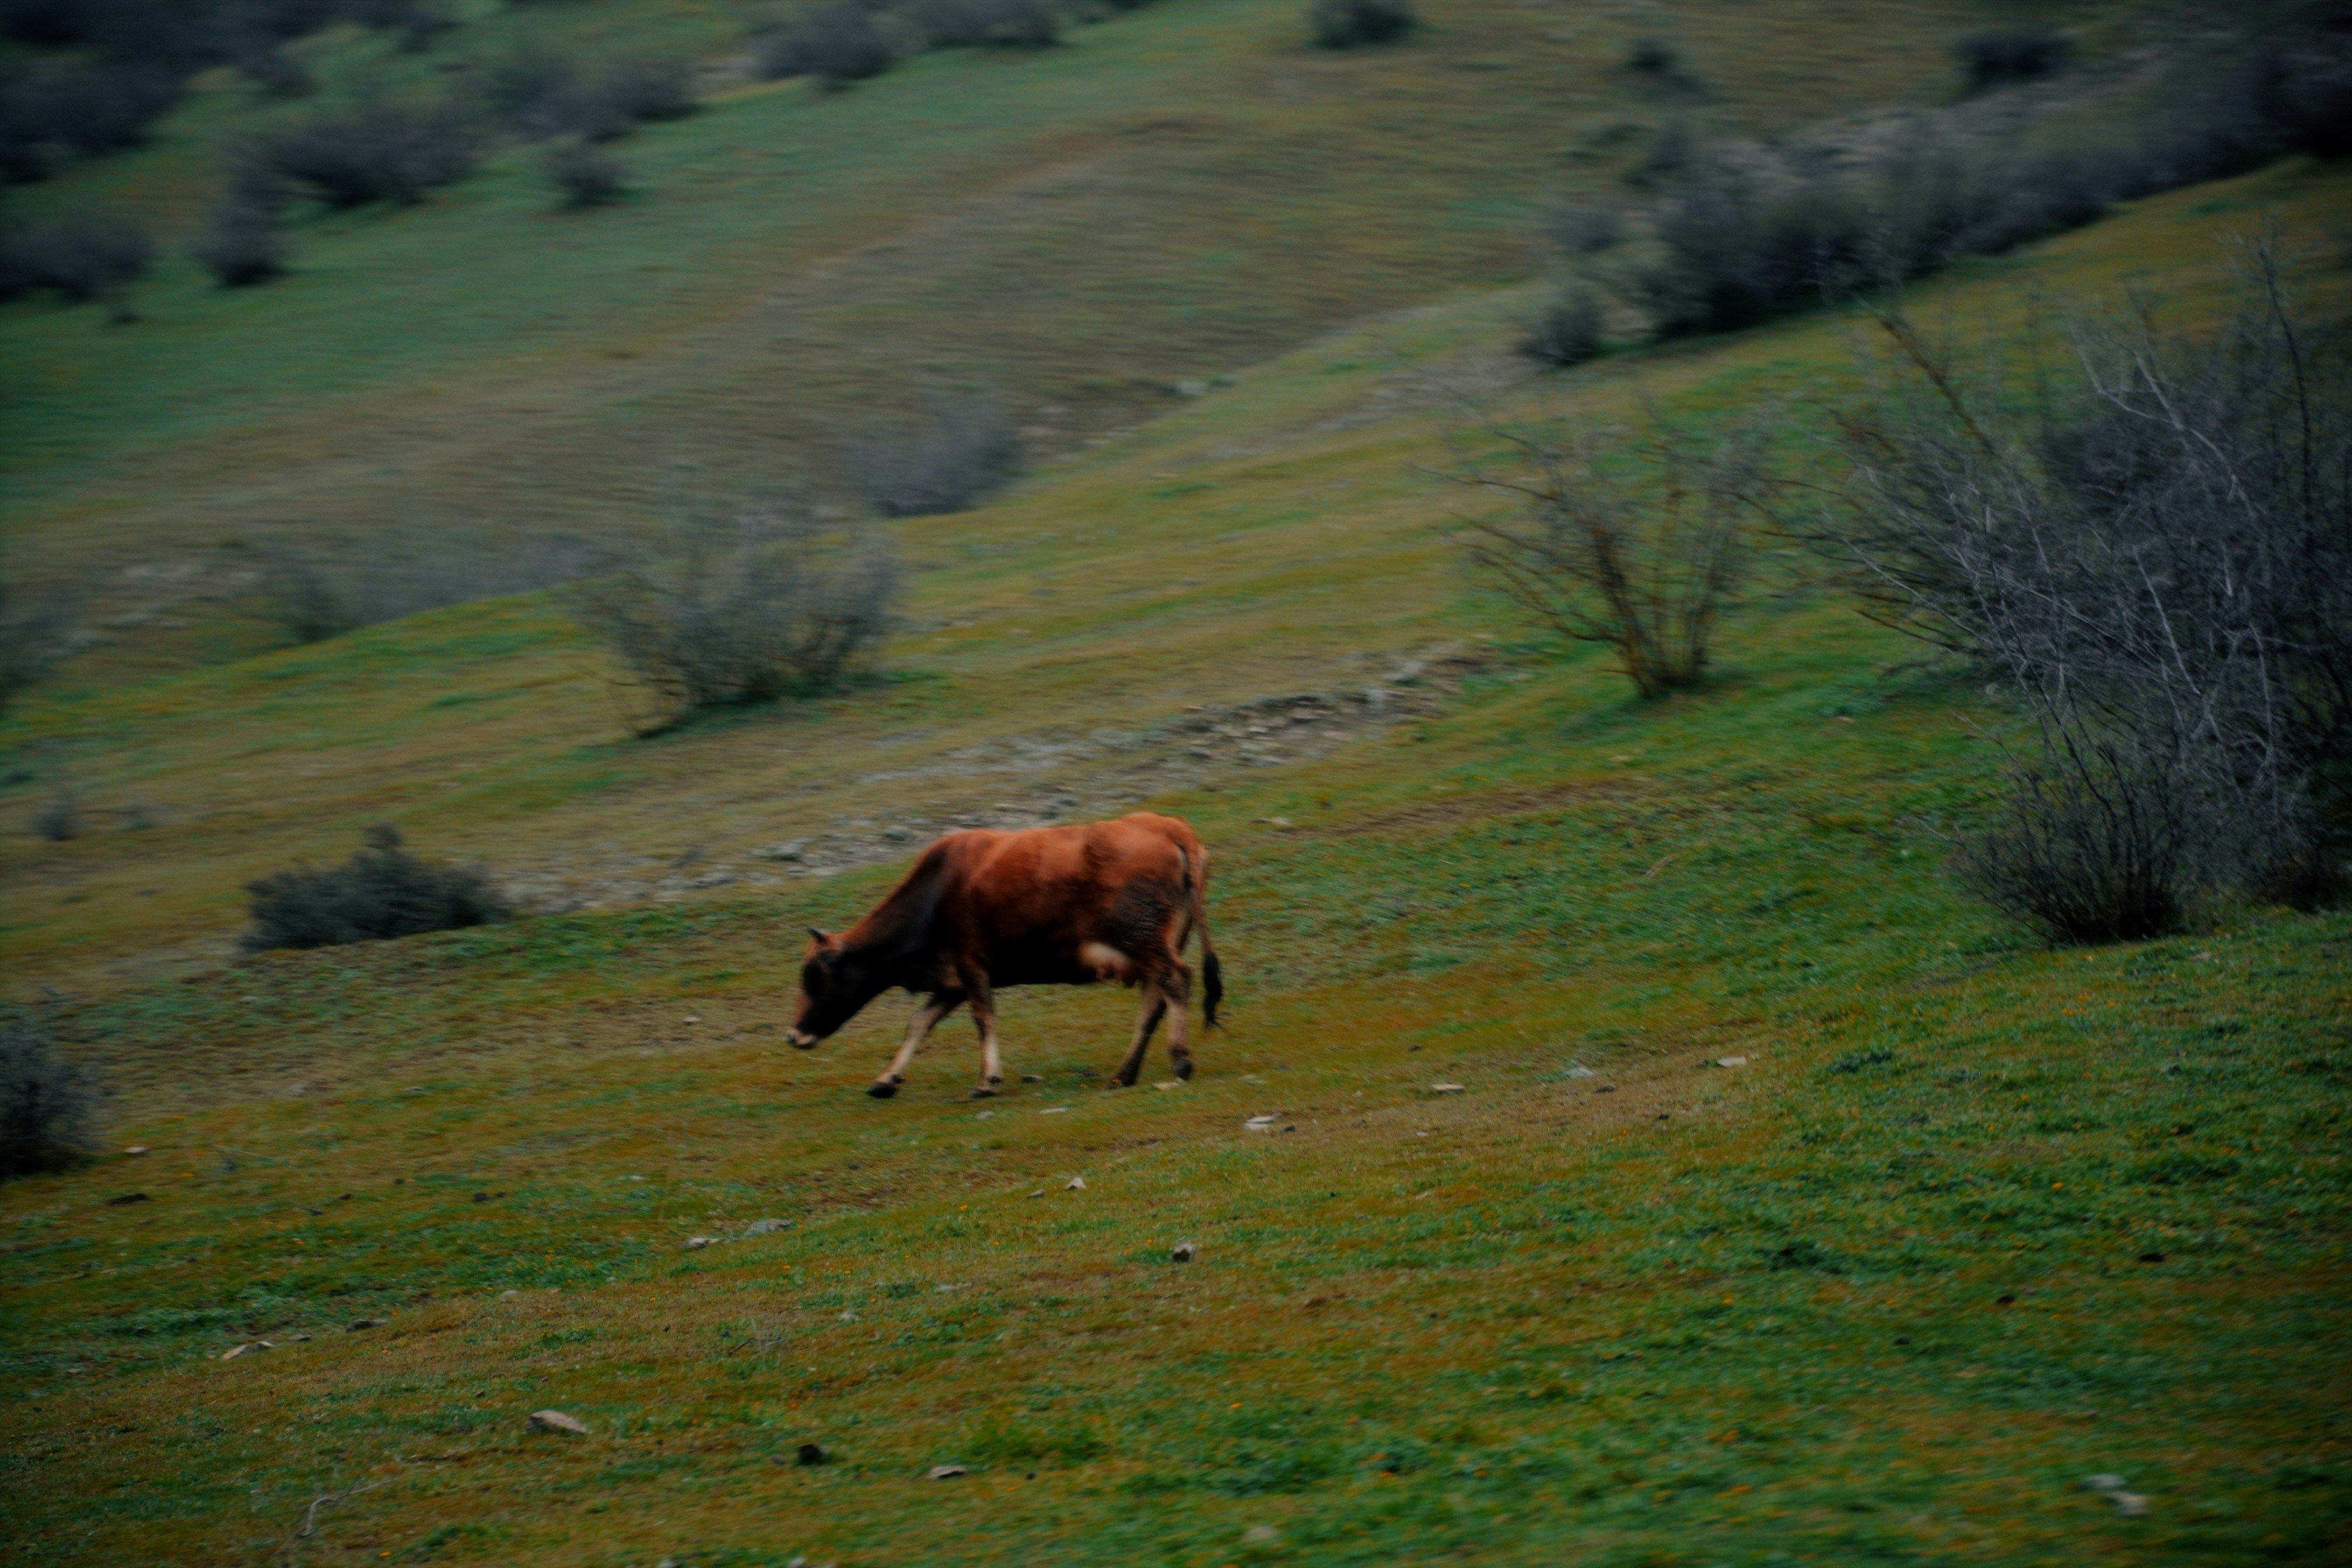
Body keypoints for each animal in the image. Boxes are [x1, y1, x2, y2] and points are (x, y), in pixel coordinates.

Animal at [784, 812, 1223, 1098]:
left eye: (812, 976)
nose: (792, 1036)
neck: (931, 896)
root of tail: (1168, 826)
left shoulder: (971, 964)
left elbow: (983, 1018)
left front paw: (987, 1080)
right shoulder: (951, 982)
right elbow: (918, 1023)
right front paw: (886, 1079)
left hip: (1145, 941)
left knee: (1176, 982)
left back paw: (1180, 1061)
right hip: (1154, 946)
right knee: (1154, 1001)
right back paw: (1124, 1075)